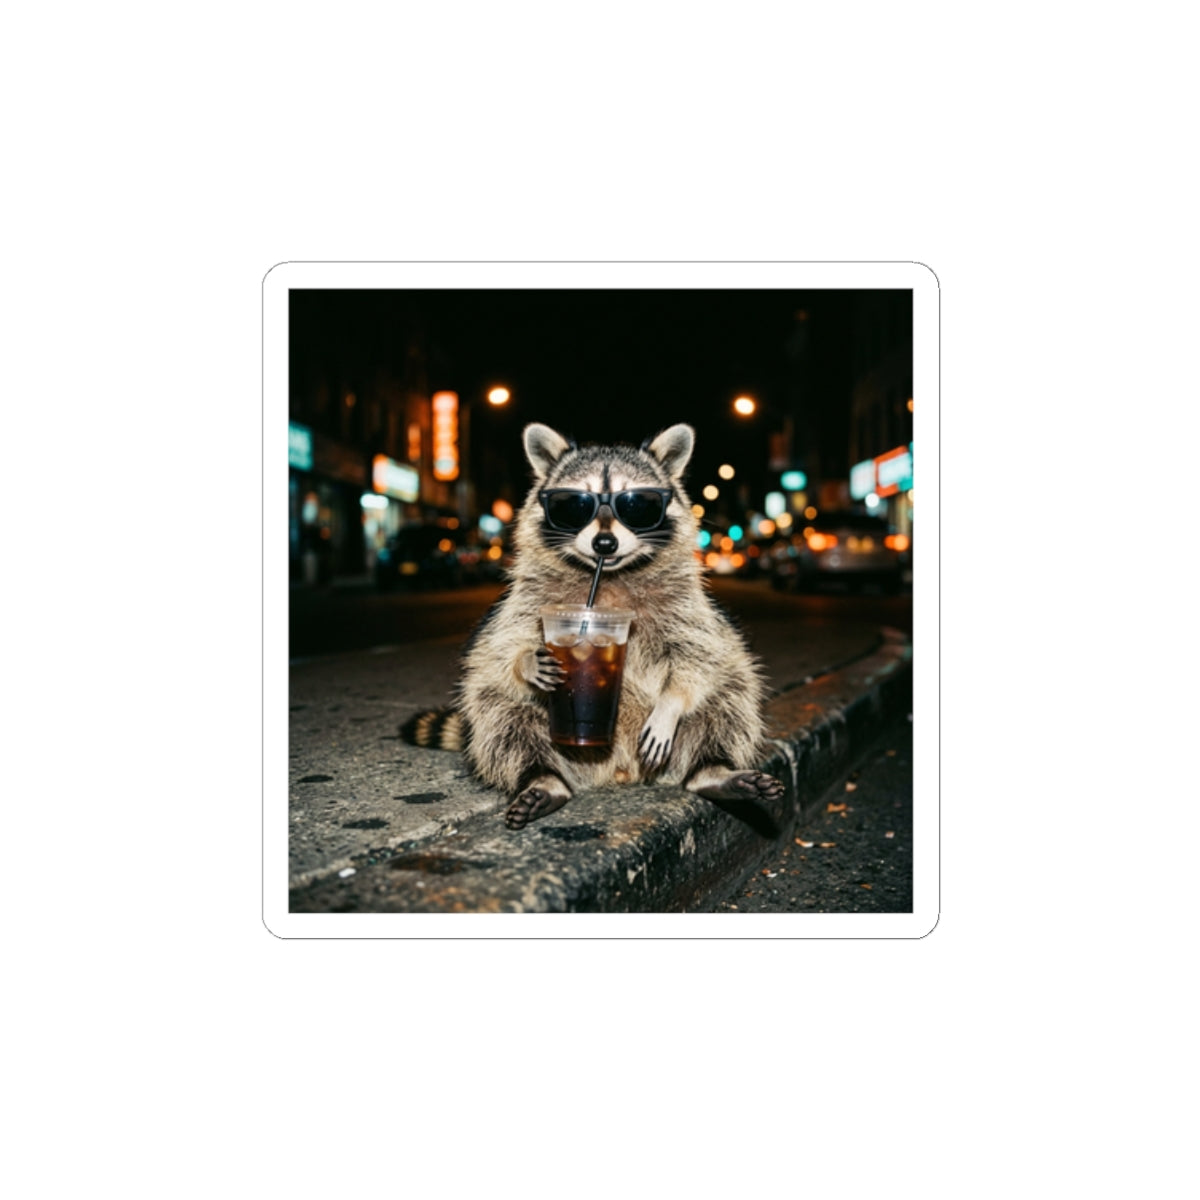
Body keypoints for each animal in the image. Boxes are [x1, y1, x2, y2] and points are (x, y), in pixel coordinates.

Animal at [401, 422, 784, 829]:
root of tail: (619, 770)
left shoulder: (688, 607)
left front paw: (671, 703)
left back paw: (712, 769)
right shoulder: (525, 600)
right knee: (501, 716)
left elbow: (699, 655)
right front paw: (525, 662)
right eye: (573, 505)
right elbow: (501, 649)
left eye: (636, 504)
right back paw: (542, 778)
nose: (604, 543)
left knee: (731, 698)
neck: (610, 577)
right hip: (528, 729)